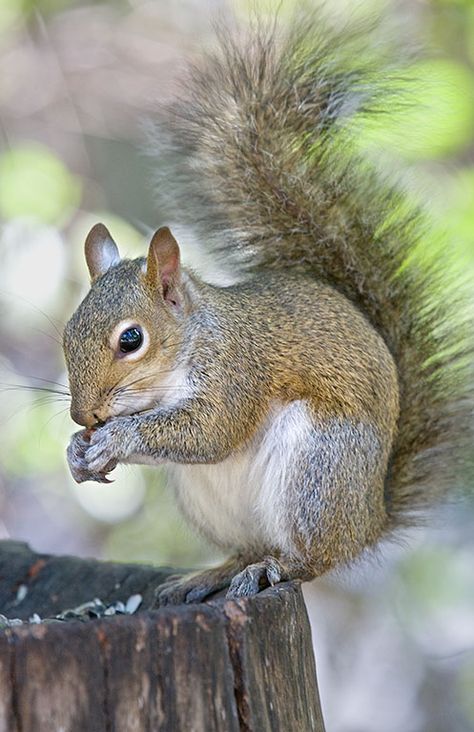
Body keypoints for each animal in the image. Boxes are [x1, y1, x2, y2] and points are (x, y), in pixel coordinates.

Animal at [62, 14, 470, 604]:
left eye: (131, 340)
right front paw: (78, 450)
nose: (82, 416)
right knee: (248, 546)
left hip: (317, 474)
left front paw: (115, 437)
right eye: (67, 334)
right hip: (212, 501)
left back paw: (274, 569)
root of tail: (370, 519)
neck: (188, 348)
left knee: (311, 559)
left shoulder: (238, 371)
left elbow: (210, 430)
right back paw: (212, 573)